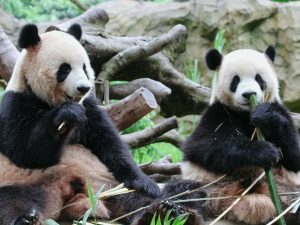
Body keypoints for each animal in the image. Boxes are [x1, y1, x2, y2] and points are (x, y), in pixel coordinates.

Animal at [0, 23, 207, 225]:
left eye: (85, 67)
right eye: (65, 69)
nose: (83, 88)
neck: (49, 101)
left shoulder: (90, 109)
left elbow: (109, 144)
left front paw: (146, 183)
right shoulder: (16, 105)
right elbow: (27, 152)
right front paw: (66, 115)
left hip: (108, 183)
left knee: (135, 197)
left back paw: (167, 212)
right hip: (26, 181)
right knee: (13, 200)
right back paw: (26, 218)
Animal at [180, 46, 300, 225]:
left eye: (259, 78)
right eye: (235, 80)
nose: (249, 94)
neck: (245, 114)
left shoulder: (281, 110)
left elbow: (295, 155)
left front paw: (266, 116)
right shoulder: (217, 113)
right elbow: (205, 146)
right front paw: (266, 151)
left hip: (287, 189)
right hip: (207, 184)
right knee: (182, 191)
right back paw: (178, 212)